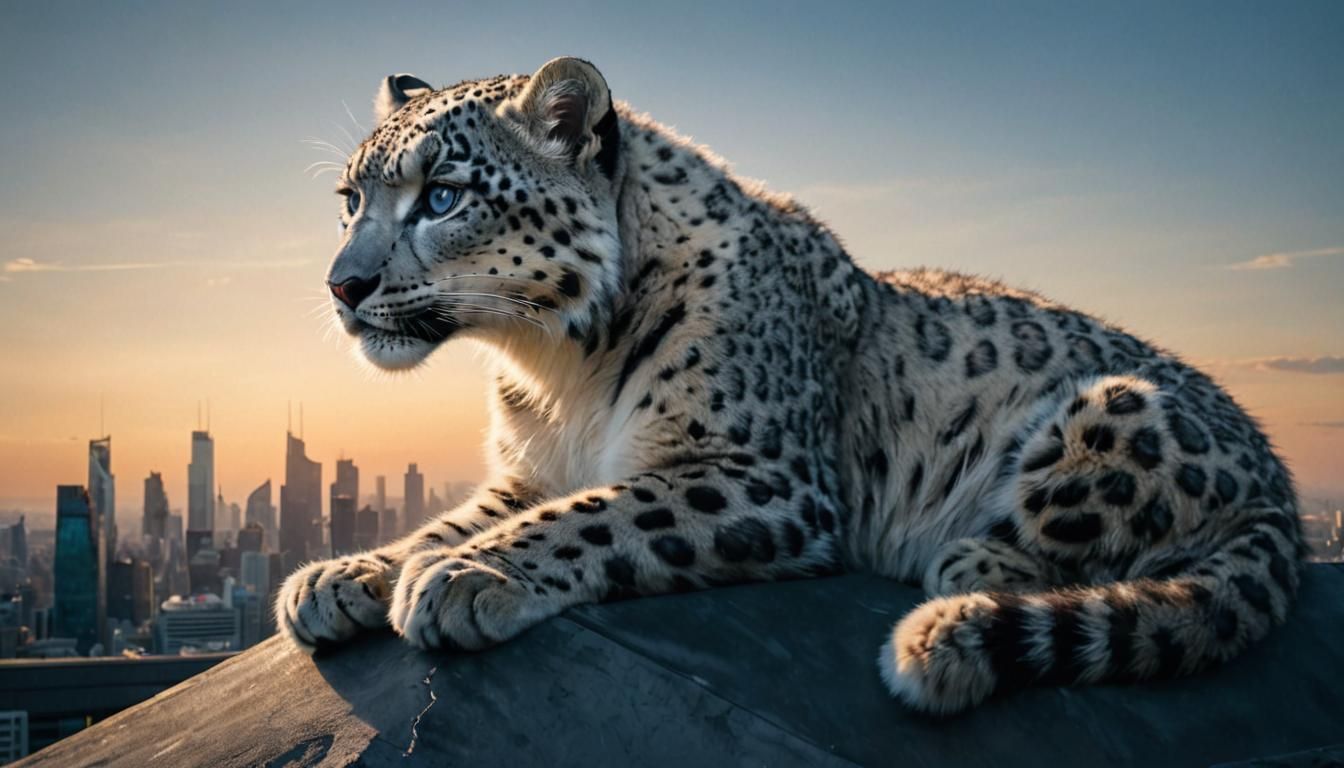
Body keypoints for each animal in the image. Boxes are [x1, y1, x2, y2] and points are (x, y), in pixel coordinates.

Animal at [277, 57, 1304, 715]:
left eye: (443, 195)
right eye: (350, 200)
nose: (341, 287)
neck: (551, 363)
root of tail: (1282, 479)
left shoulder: (761, 473)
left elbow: (597, 517)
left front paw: (465, 576)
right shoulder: (529, 469)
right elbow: (454, 516)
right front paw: (341, 575)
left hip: (1113, 407)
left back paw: (965, 573)